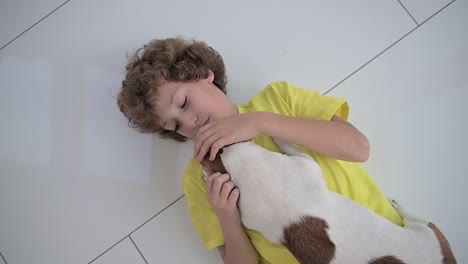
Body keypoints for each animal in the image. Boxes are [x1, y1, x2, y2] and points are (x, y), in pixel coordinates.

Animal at [199, 139, 456, 262]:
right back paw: (396, 204)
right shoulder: (305, 162)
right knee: (417, 219)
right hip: (427, 231)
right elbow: (289, 145)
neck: (233, 161)